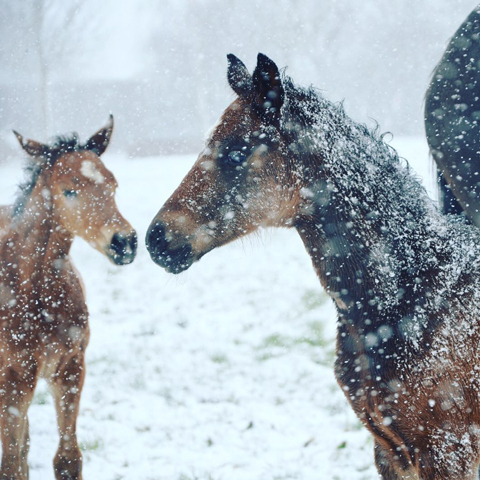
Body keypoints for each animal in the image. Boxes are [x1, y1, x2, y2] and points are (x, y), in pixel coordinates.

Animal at [0, 117, 136, 480]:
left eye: (113, 184)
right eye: (69, 190)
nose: (125, 242)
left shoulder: (70, 367)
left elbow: (67, 458)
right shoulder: (13, 379)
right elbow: (11, 464)